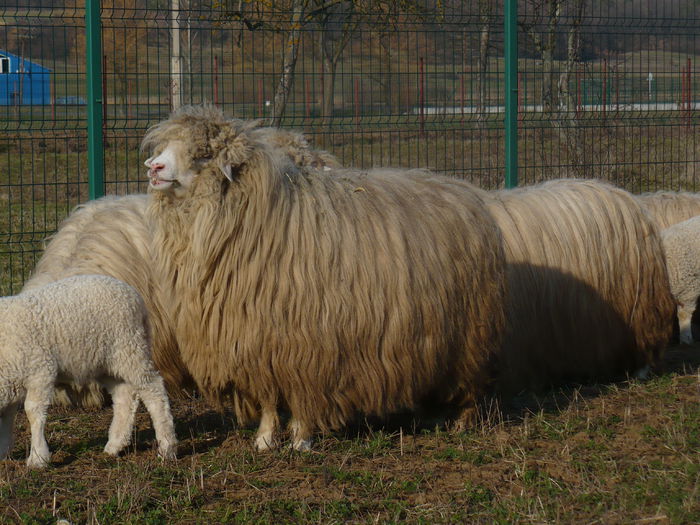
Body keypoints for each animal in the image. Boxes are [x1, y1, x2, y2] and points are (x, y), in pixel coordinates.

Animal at [0, 274, 178, 466]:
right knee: (124, 395)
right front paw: (4, 450)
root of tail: (134, 295)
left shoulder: (41, 370)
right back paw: (114, 445)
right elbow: (7, 417)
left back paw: (167, 447)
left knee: (154, 389)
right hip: (107, 362)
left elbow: (33, 412)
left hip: (130, 347)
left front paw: (38, 457)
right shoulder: (11, 381)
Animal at [142, 103, 506, 450]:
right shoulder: (258, 338)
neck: (266, 216)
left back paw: (461, 424)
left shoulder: (308, 340)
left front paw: (301, 439)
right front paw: (265, 439)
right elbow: (268, 398)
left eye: (204, 154)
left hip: (469, 333)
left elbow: (303, 395)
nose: (154, 168)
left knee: (471, 385)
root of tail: (466, 191)